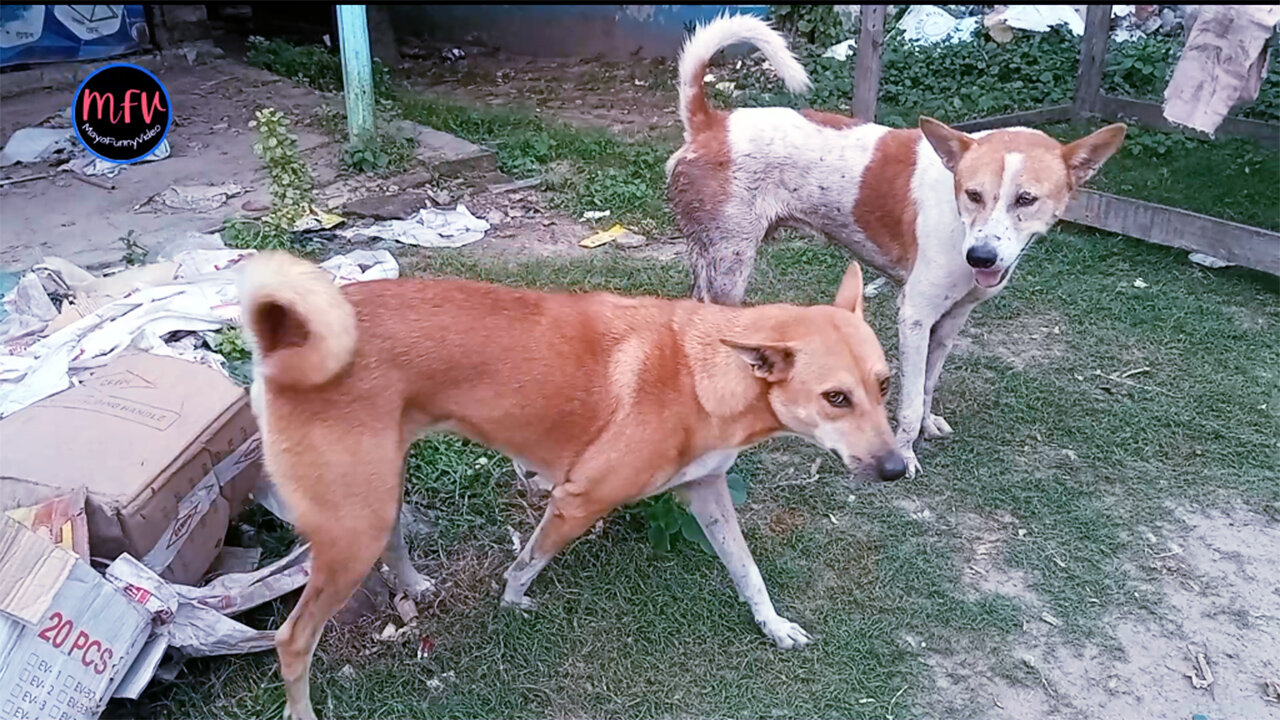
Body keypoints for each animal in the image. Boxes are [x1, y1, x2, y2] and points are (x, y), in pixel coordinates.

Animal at [238, 249, 901, 712]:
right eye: (835, 398)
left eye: (885, 383)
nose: (898, 468)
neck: (705, 370)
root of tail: (283, 339)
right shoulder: (578, 498)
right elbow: (526, 562)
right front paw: (513, 602)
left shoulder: (707, 491)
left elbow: (748, 571)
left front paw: (774, 625)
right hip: (354, 526)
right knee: (292, 641)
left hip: (378, 493)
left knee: (394, 539)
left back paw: (415, 585)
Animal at [665, 15, 1126, 476]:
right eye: (973, 194)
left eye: (1026, 199)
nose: (981, 257)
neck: (958, 218)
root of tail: (710, 123)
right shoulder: (915, 314)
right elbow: (908, 401)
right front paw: (905, 454)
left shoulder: (953, 318)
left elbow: (926, 384)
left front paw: (926, 425)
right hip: (730, 266)